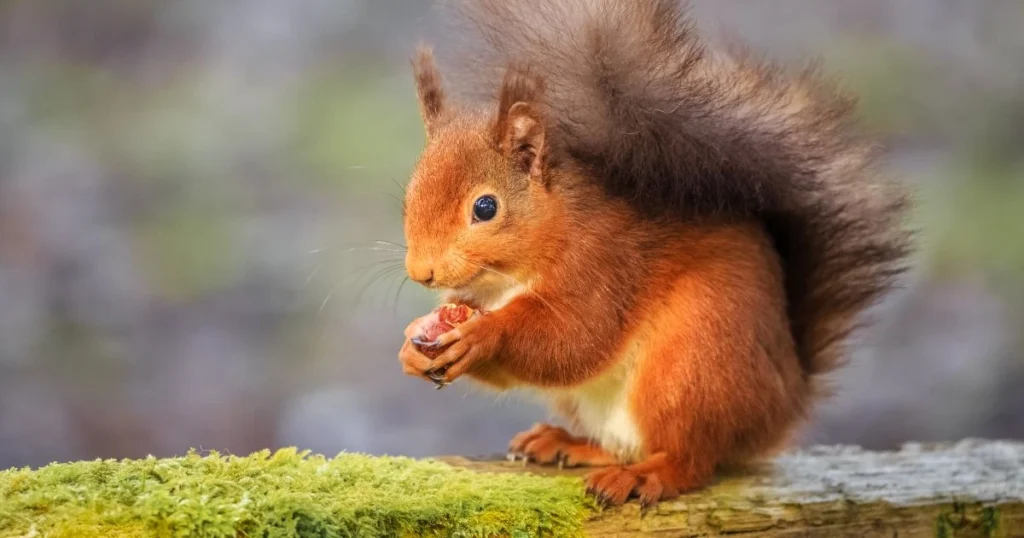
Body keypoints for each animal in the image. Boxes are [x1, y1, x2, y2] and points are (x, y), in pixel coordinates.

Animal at [395, 0, 909, 506]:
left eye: (486, 207)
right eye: (409, 196)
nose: (421, 272)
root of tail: (783, 404)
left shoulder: (604, 264)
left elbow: (575, 339)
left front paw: (483, 334)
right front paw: (413, 348)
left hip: (691, 364)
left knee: (691, 459)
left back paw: (646, 476)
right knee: (623, 446)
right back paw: (567, 444)